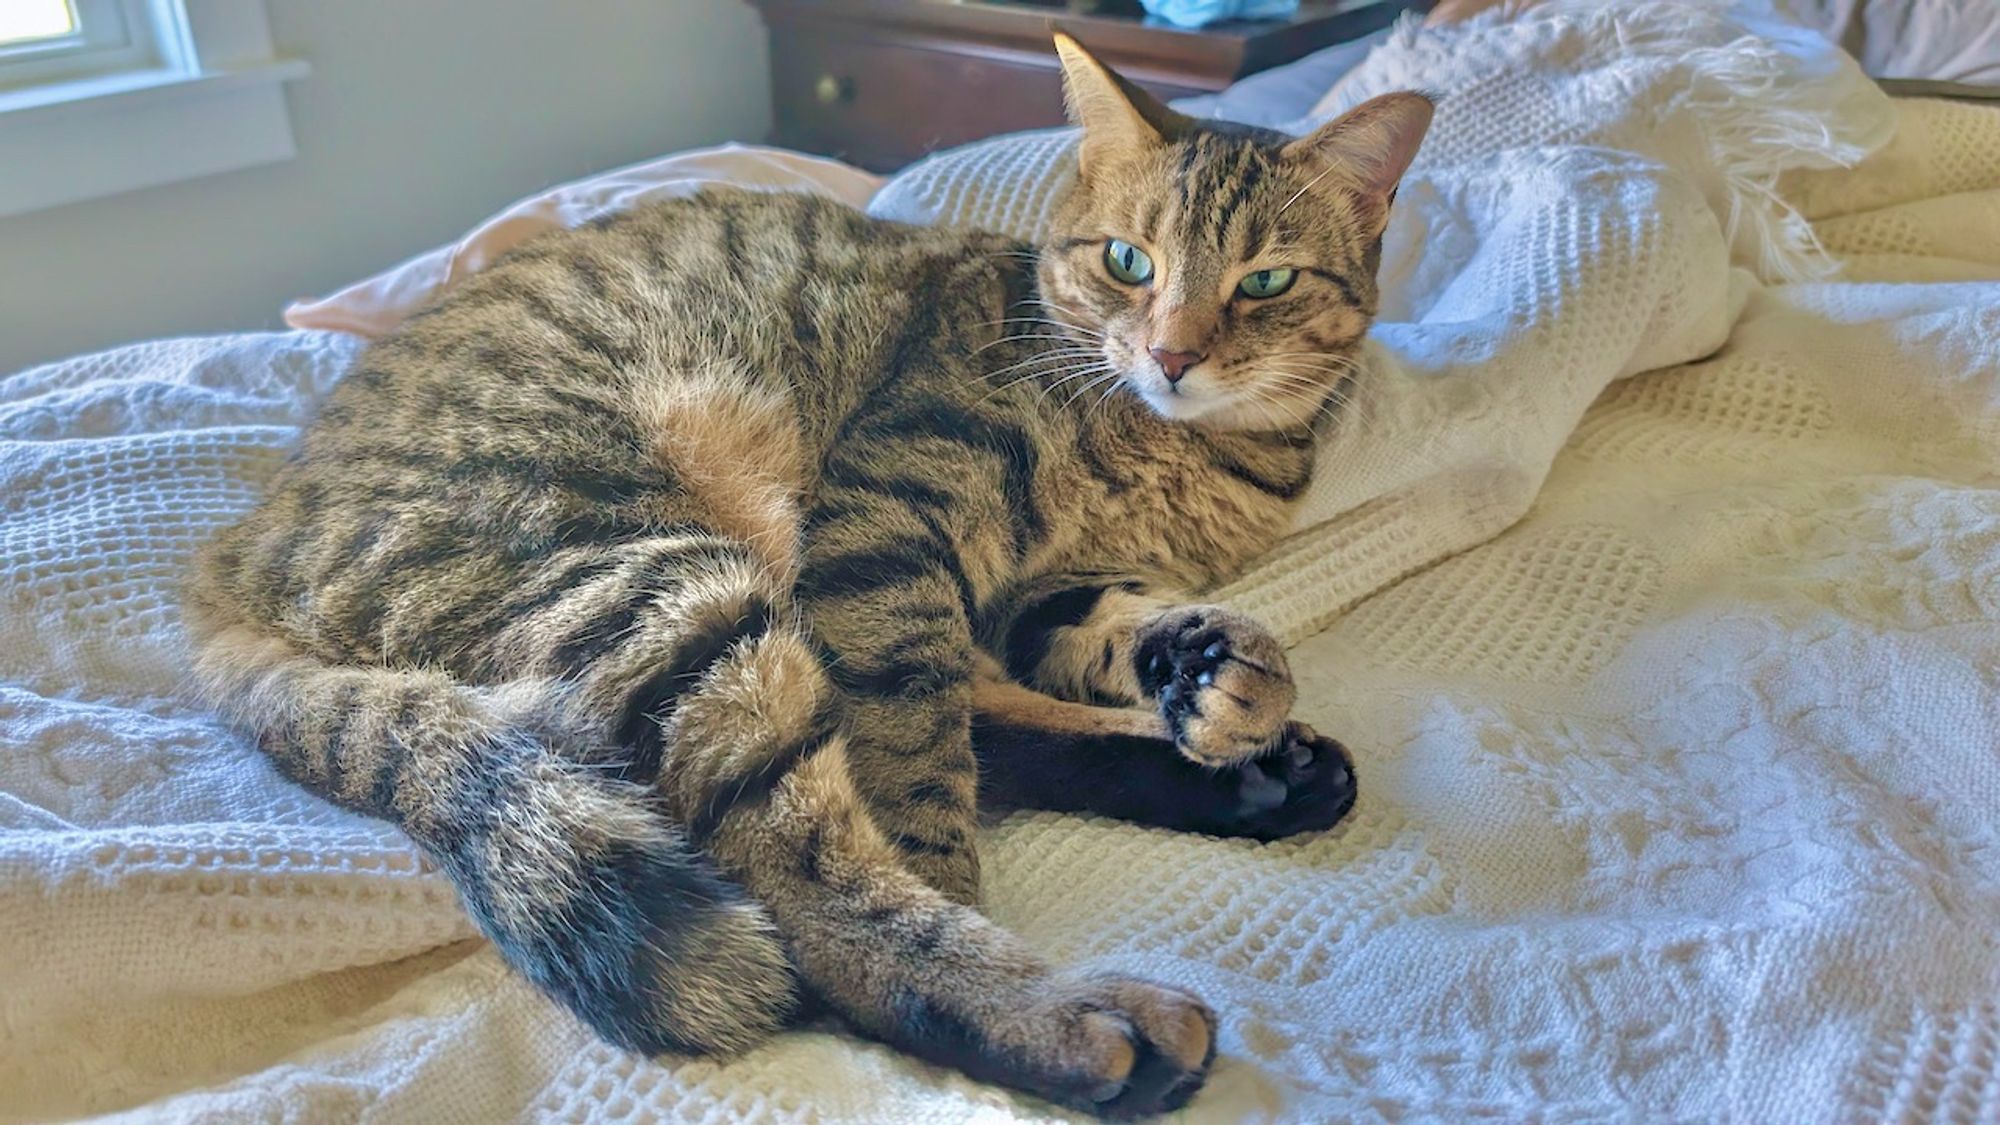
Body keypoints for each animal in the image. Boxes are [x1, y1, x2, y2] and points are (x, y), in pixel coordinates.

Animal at [188, 35, 1432, 1112]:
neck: (1174, 447)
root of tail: (225, 566)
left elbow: (1106, 629)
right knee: (818, 876)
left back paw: (1257, 779)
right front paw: (954, 893)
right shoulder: (886, 516)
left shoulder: (1042, 591)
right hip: (658, 578)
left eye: (1265, 281)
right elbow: (916, 765)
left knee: (971, 734)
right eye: (1130, 263)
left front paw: (1219, 670)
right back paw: (1049, 1010)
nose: (1172, 353)